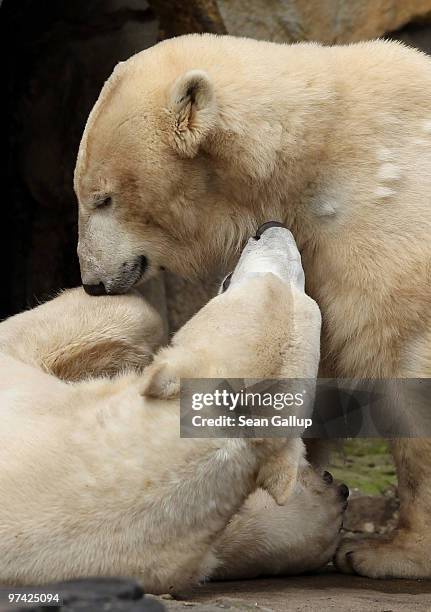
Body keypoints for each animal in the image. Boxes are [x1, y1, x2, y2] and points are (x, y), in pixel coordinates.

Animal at [73, 33, 431, 580]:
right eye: (84, 192)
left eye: (104, 198)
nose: (92, 282)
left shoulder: (385, 226)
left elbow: (402, 368)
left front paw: (387, 552)